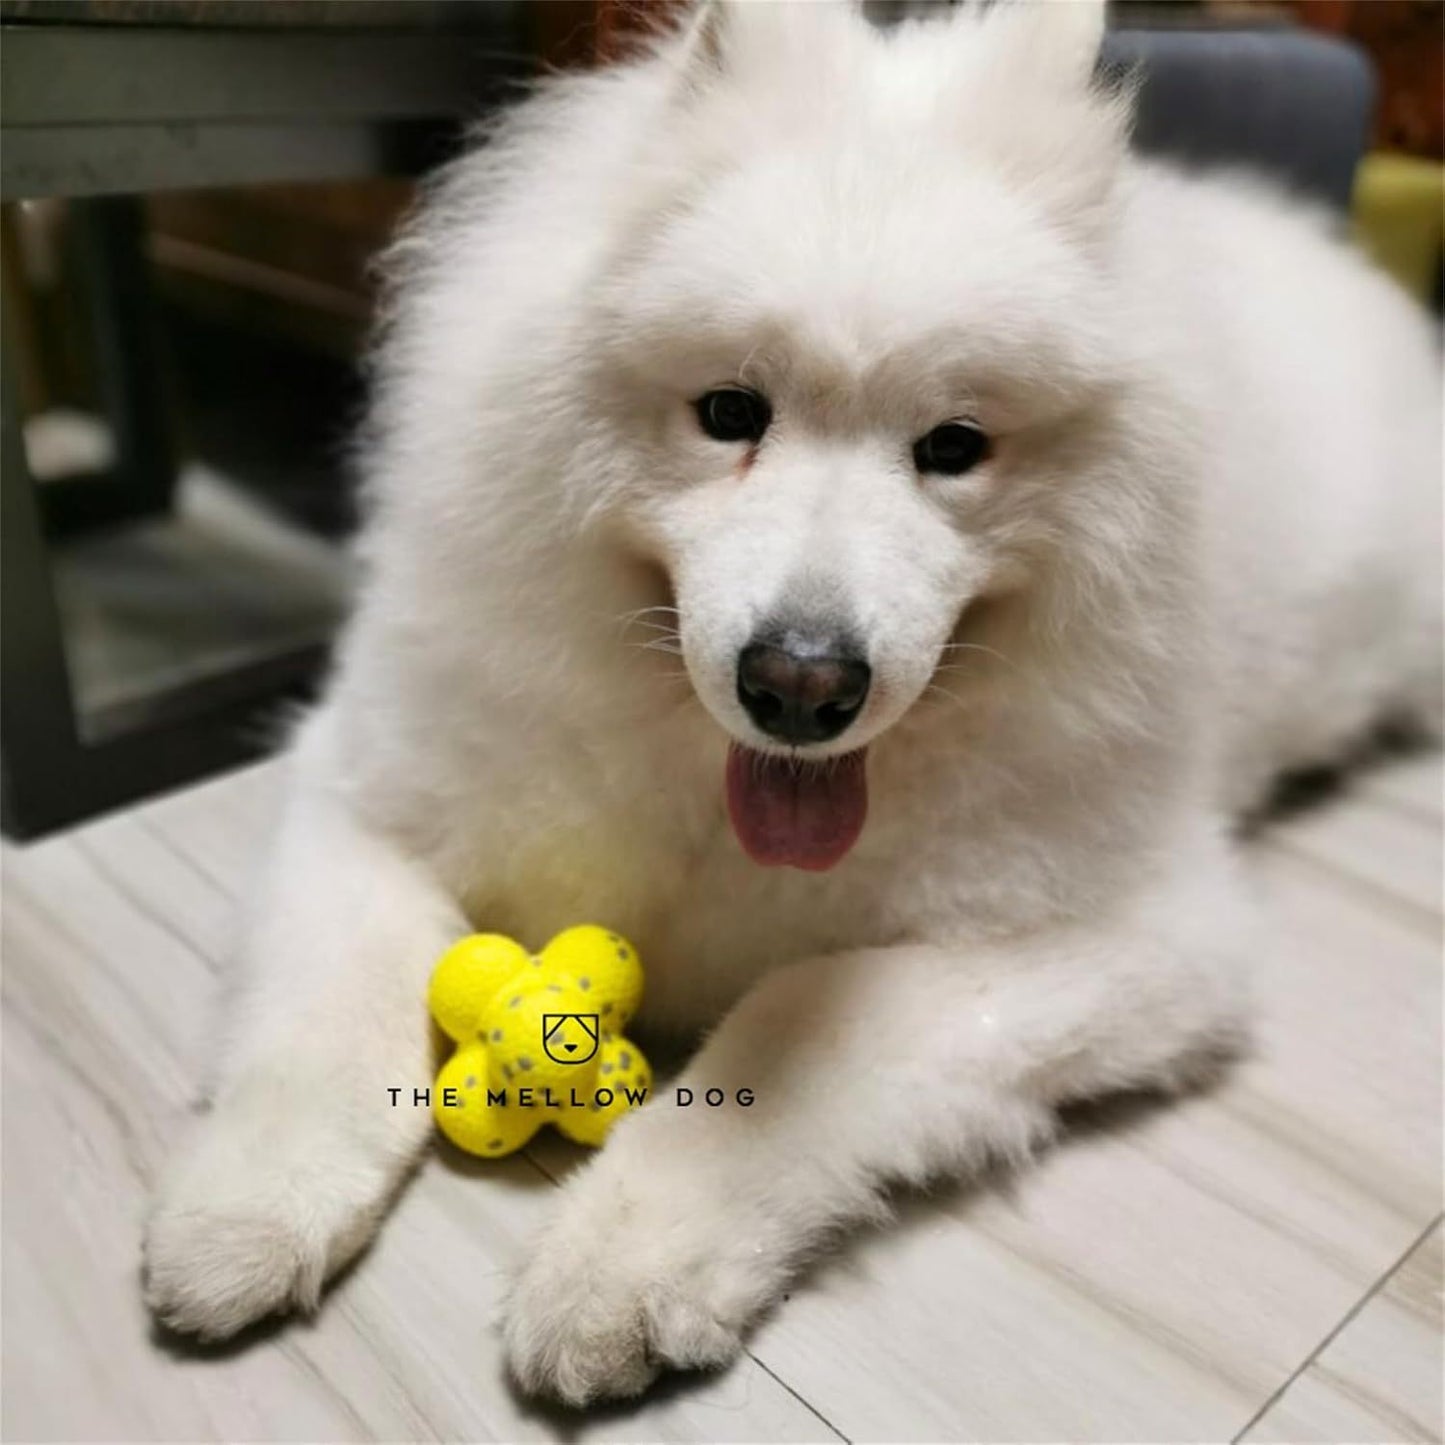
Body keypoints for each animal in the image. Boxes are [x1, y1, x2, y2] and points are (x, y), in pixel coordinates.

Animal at [140, 0, 1439, 1404]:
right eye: (727, 412)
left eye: (954, 446)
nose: (802, 683)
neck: (703, 791)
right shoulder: (358, 790)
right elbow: (327, 1013)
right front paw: (241, 1212)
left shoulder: (1142, 936)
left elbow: (804, 1022)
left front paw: (621, 1261)